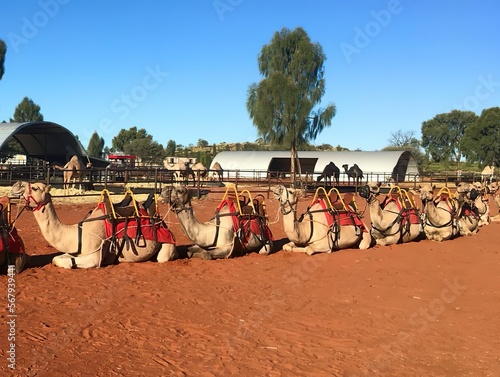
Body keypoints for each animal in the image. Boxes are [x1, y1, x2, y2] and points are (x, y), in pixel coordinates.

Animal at [9, 179, 178, 268]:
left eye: (35, 187)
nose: (16, 184)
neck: (77, 233)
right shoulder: (74, 251)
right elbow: (56, 258)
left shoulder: (94, 256)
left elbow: (68, 262)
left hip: (167, 245)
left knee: (163, 258)